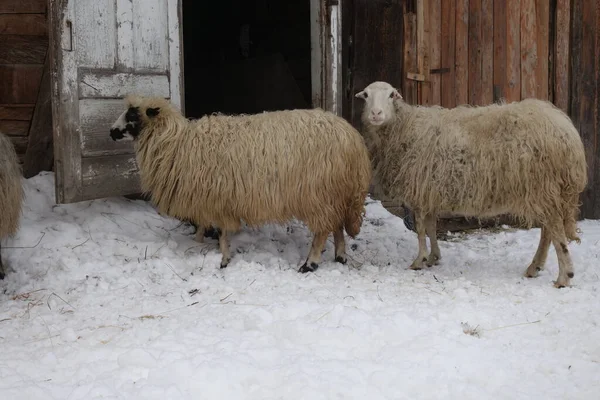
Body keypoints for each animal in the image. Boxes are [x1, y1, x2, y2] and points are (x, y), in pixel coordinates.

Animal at [108, 95, 370, 274]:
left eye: (132, 115)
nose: (111, 132)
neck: (178, 143)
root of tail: (353, 138)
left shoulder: (219, 198)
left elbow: (223, 232)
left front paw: (223, 260)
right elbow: (204, 225)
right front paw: (199, 243)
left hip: (319, 193)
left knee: (323, 230)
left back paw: (310, 263)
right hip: (335, 193)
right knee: (337, 225)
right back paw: (340, 256)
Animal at [356, 80, 584, 288]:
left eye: (391, 95)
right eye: (366, 95)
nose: (376, 113)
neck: (403, 126)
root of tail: (568, 133)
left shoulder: (420, 190)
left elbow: (421, 230)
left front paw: (419, 260)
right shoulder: (430, 191)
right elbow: (431, 227)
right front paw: (434, 257)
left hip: (542, 186)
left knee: (555, 230)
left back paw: (564, 277)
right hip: (546, 191)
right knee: (547, 231)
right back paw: (534, 267)